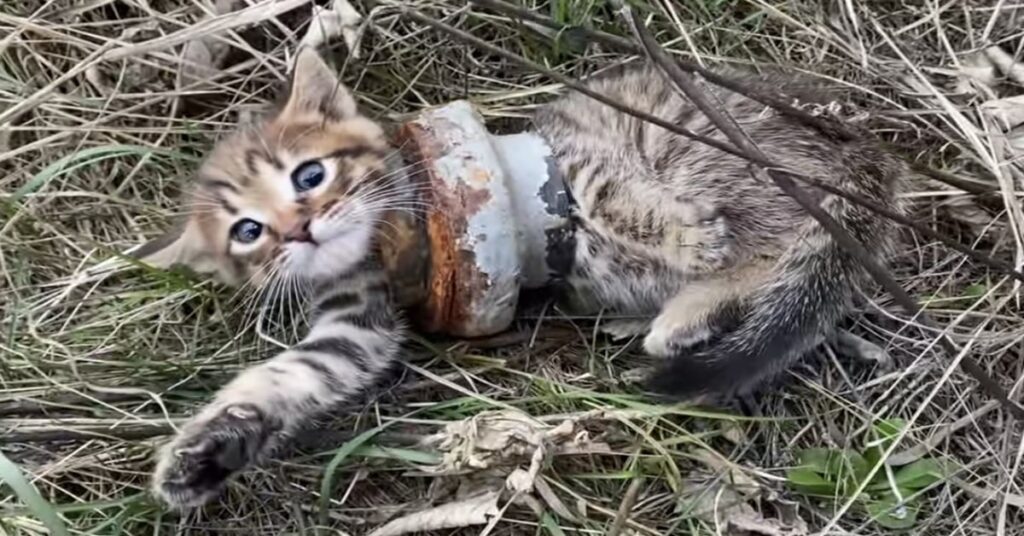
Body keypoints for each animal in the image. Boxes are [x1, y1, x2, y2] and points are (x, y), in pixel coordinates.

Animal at [138, 47, 905, 508]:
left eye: (309, 175)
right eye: (247, 231)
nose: (298, 231)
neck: (379, 242)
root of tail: (869, 155)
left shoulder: (575, 163)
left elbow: (618, 201)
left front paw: (687, 238)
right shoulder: (357, 318)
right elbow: (295, 374)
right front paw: (204, 453)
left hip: (710, 148)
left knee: (777, 247)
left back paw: (688, 301)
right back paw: (682, 316)